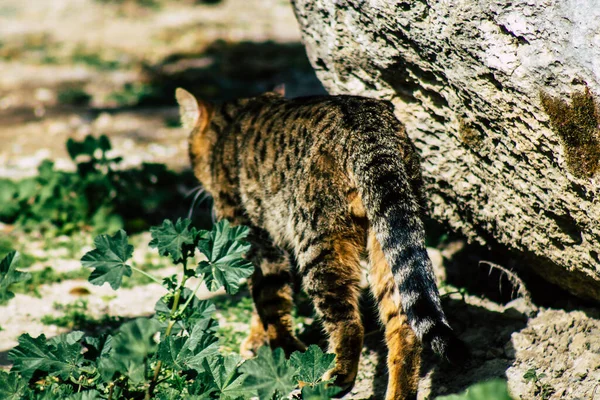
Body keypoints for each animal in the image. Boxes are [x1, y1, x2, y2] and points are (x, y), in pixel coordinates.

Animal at [176, 86, 466, 400]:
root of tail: (368, 122)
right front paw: (257, 338)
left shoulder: (256, 239)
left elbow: (269, 300)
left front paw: (282, 350)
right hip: (390, 237)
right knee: (404, 326)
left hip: (319, 243)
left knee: (349, 325)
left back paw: (330, 380)